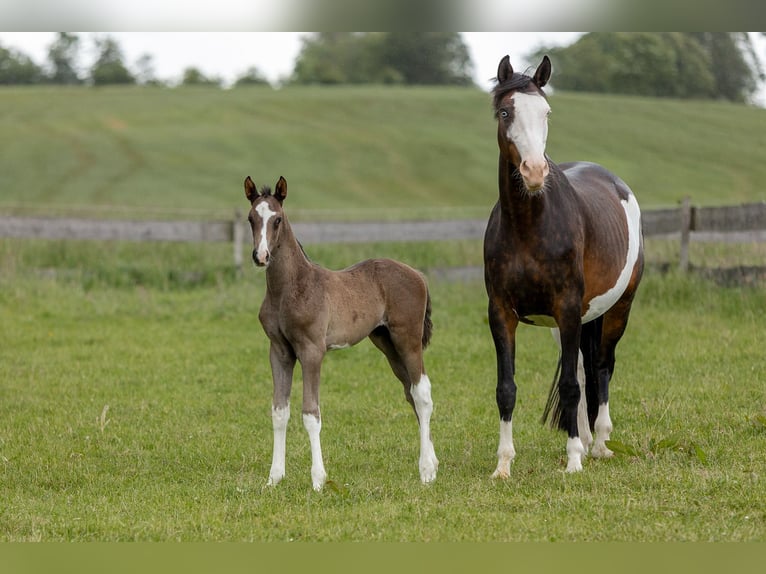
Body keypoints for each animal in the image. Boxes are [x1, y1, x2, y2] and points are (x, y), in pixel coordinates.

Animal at [244, 174, 438, 490]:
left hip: (407, 339)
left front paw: (318, 480)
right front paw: (274, 478)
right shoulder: (280, 351)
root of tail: (418, 274)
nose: (261, 256)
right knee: (410, 392)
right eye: (251, 218)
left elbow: (311, 414)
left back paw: (426, 471)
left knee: (422, 394)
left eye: (277, 219)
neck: (290, 288)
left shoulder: (312, 351)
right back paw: (433, 463)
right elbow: (279, 411)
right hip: (386, 343)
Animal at [486, 55, 648, 476]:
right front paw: (503, 465)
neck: (529, 226)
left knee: (602, 366)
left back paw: (599, 444)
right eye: (506, 112)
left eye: (546, 112)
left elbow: (574, 386)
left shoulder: (569, 308)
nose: (533, 172)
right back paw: (588, 440)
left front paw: (574, 461)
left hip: (617, 309)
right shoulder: (502, 313)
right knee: (580, 367)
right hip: (568, 325)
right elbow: (507, 388)